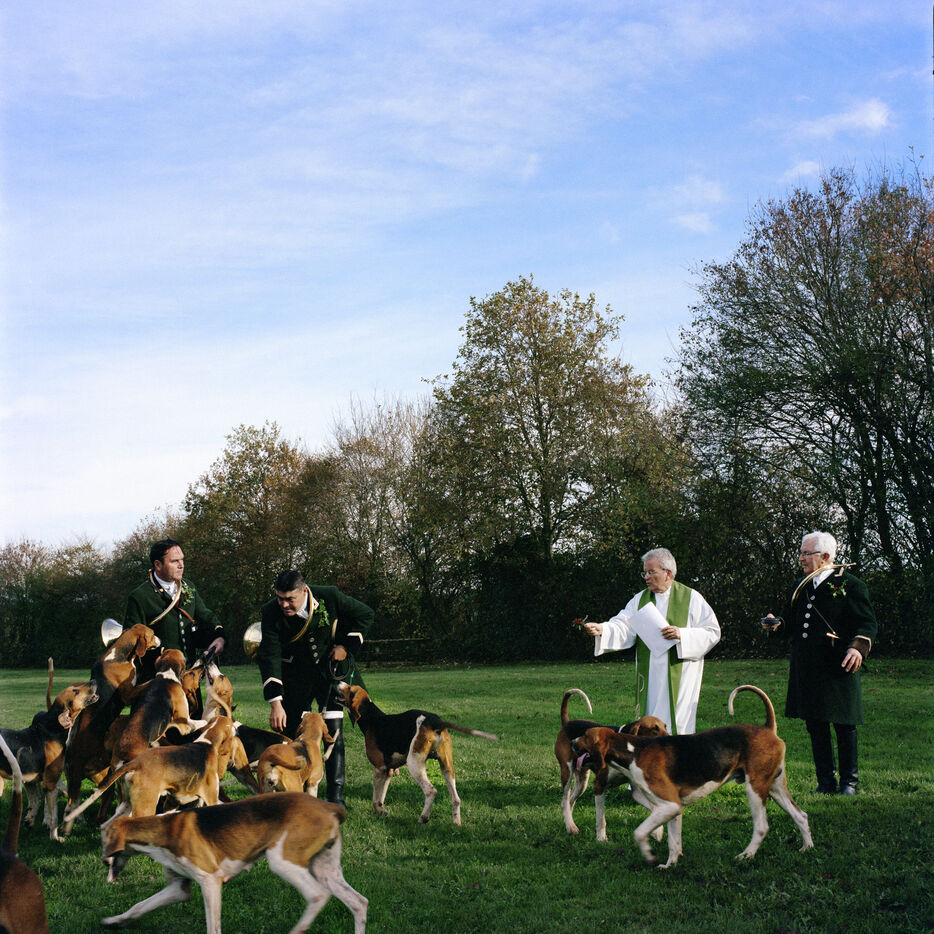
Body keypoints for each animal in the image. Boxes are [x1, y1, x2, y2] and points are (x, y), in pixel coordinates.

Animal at [0, 678, 99, 841]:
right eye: (76, 691)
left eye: (75, 687)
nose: (94, 680)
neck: (53, 728)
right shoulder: (50, 784)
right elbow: (54, 817)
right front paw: (55, 838)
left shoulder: (30, 780)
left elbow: (36, 801)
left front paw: (29, 822)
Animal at [100, 793, 368, 934]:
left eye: (104, 839)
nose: (104, 863)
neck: (163, 829)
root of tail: (329, 806)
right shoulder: (178, 889)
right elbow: (139, 906)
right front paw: (116, 921)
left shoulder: (210, 881)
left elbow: (213, 927)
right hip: (324, 869)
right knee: (359, 903)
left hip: (282, 862)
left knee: (318, 896)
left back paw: (298, 928)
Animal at [336, 682, 497, 825]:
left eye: (349, 688)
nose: (339, 681)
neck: (371, 717)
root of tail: (435, 721)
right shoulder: (388, 771)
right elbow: (381, 798)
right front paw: (382, 812)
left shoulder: (378, 768)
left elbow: (375, 800)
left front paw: (379, 811)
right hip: (447, 767)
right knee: (456, 799)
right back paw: (456, 823)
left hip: (414, 764)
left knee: (431, 791)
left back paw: (423, 818)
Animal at [555, 688, 667, 838]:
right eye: (655, 729)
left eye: (665, 726)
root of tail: (567, 723)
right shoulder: (599, 785)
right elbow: (601, 819)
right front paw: (601, 838)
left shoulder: (635, 791)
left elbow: (655, 808)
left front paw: (657, 831)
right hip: (566, 772)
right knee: (564, 801)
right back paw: (570, 826)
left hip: (582, 781)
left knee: (570, 801)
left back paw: (570, 824)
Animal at [571, 684, 814, 867]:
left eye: (585, 736)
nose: (572, 741)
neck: (633, 751)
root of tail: (767, 728)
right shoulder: (672, 808)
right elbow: (673, 842)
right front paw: (670, 864)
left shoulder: (668, 805)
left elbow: (639, 833)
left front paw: (650, 855)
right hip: (775, 788)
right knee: (801, 816)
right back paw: (807, 848)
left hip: (754, 789)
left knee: (762, 827)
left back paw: (747, 855)